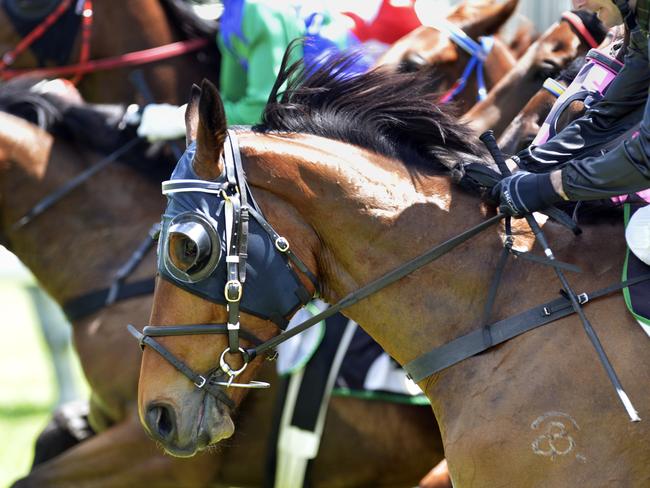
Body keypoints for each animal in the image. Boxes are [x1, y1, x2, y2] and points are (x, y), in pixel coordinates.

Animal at [0, 83, 446, 488]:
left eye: (188, 247)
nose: (160, 414)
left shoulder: (156, 457)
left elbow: (31, 480)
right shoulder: (107, 416)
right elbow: (51, 434)